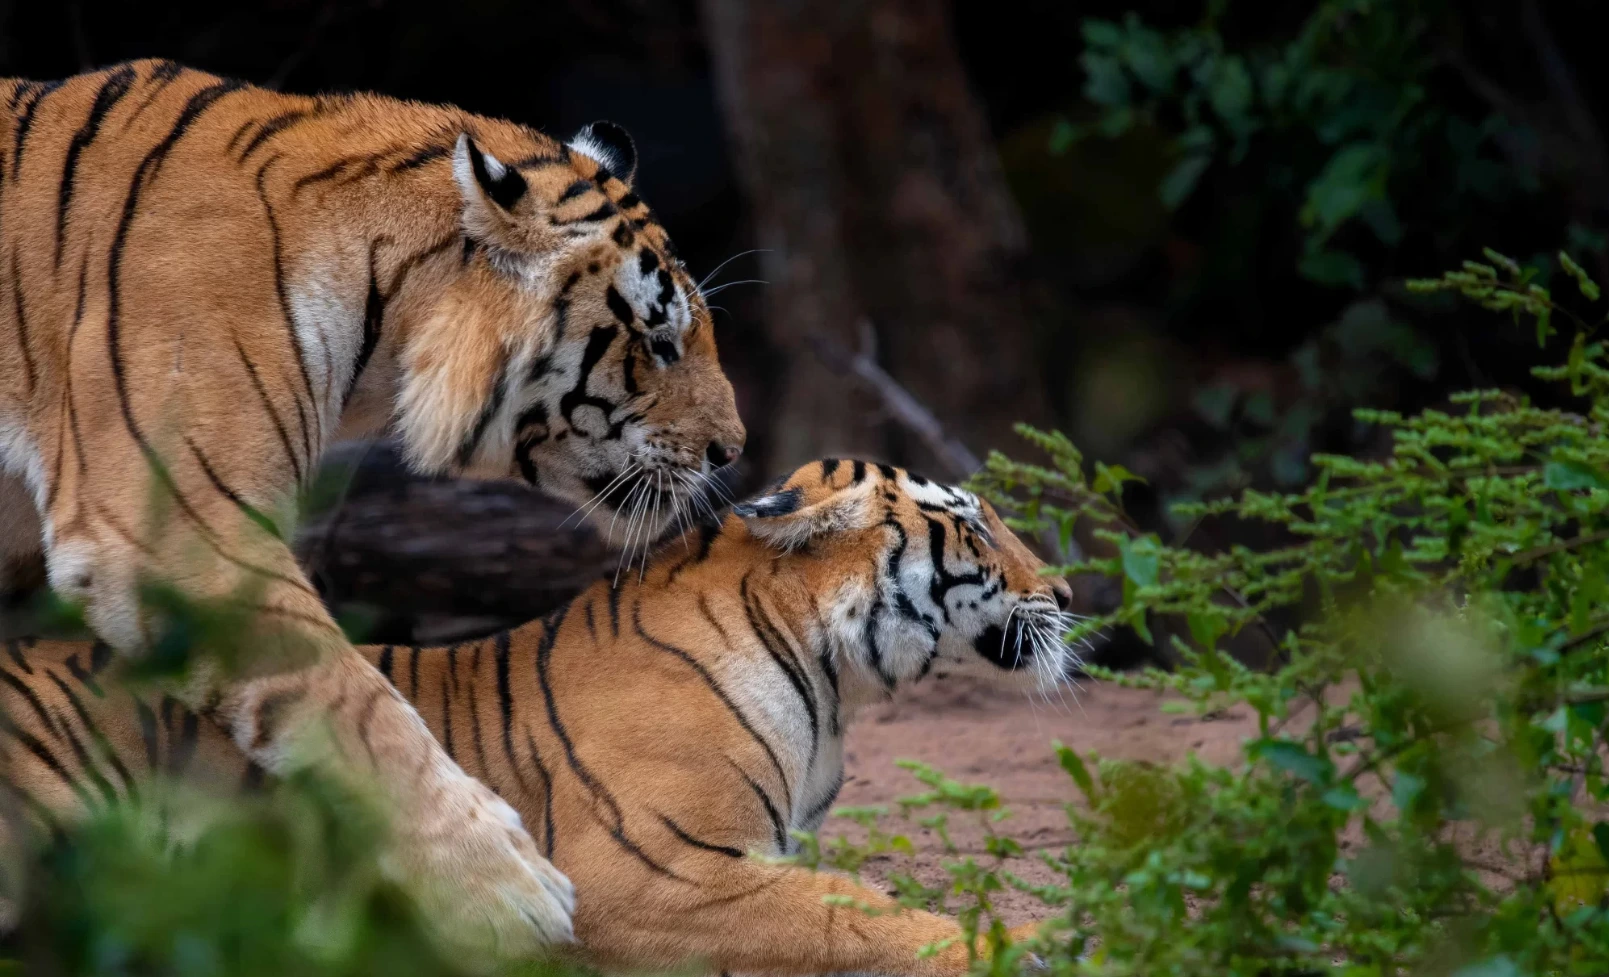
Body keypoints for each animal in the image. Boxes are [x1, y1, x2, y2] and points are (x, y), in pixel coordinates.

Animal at [0, 60, 745, 954]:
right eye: (659, 342)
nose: (733, 449)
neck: (381, 307)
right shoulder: (173, 524)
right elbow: (351, 701)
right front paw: (508, 895)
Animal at [0, 459, 1078, 975]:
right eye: (974, 525)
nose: (1067, 591)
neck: (833, 679)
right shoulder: (638, 870)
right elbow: (844, 914)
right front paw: (1030, 942)